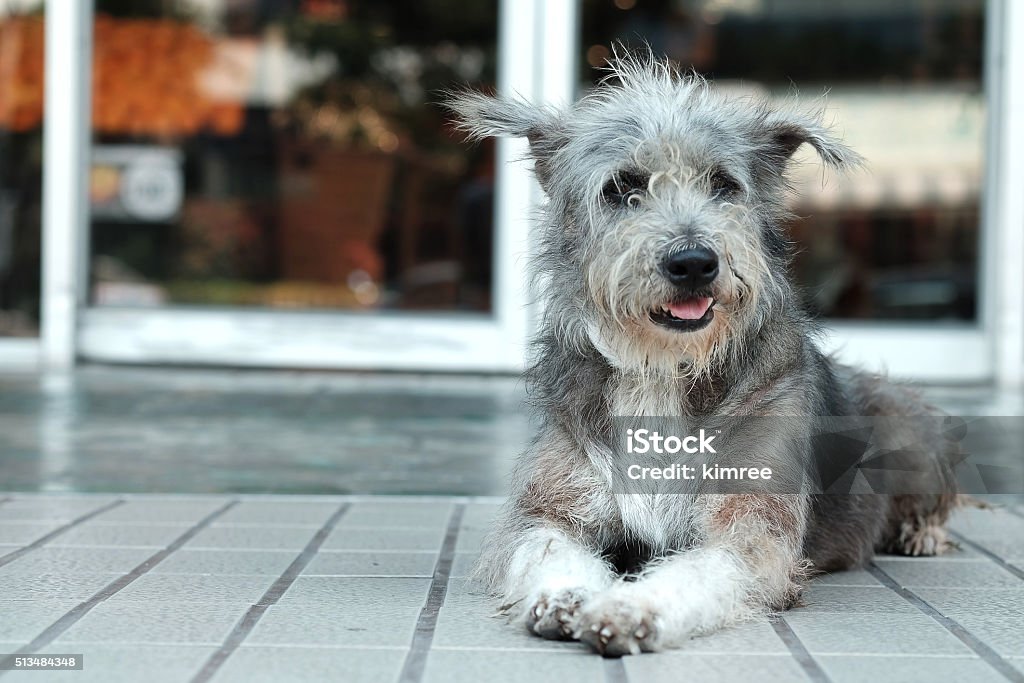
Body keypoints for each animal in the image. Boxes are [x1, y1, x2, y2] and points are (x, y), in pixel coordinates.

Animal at [446, 56, 958, 659]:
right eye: (622, 187)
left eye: (723, 184)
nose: (693, 262)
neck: (664, 369)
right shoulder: (546, 510)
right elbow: (546, 545)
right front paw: (568, 594)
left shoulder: (751, 526)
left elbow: (698, 569)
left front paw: (630, 608)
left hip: (907, 430)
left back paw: (922, 532)